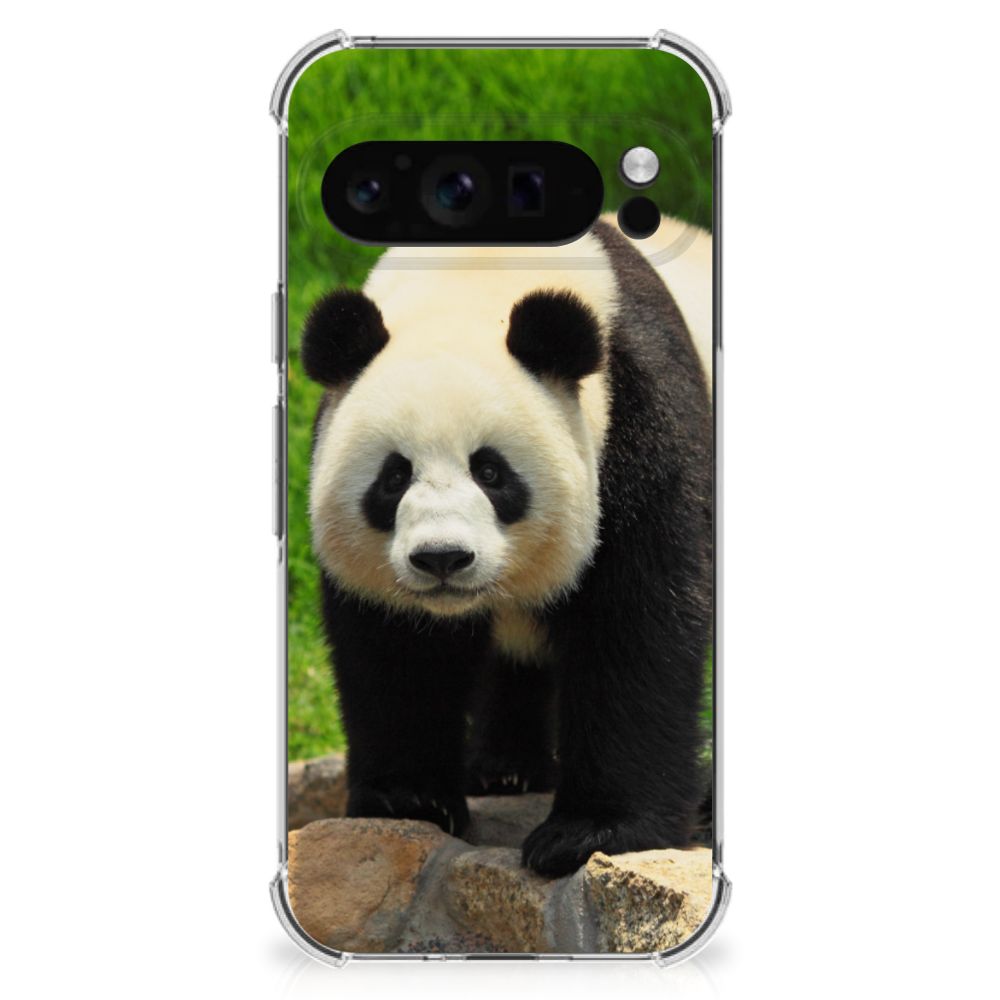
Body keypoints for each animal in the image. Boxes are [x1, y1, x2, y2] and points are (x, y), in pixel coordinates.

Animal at [301, 217, 713, 877]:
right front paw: (408, 799)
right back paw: (504, 768)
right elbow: (396, 648)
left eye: (492, 472)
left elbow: (637, 623)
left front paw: (590, 833)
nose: (442, 559)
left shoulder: (639, 419)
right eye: (394, 476)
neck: (476, 272)